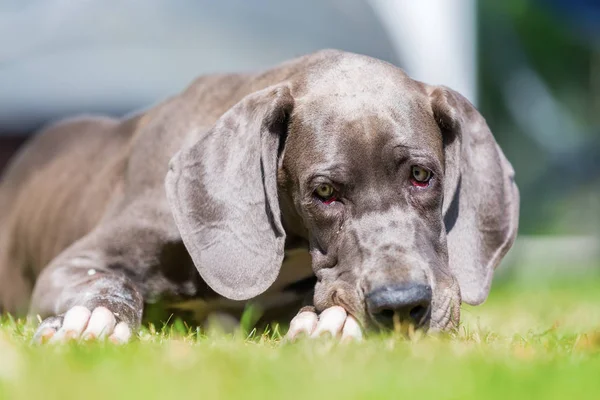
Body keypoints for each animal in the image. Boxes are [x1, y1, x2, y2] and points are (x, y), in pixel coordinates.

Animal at [0, 50, 516, 344]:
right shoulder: (75, 262)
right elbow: (108, 282)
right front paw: (94, 320)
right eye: (324, 192)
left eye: (421, 175)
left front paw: (328, 322)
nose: (401, 305)